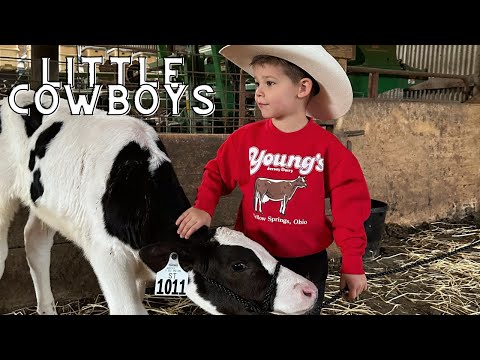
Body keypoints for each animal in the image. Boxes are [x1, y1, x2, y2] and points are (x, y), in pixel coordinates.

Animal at [0, 90, 318, 316]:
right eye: (238, 266)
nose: (310, 290)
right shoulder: (107, 255)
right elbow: (129, 310)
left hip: (46, 204)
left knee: (35, 242)